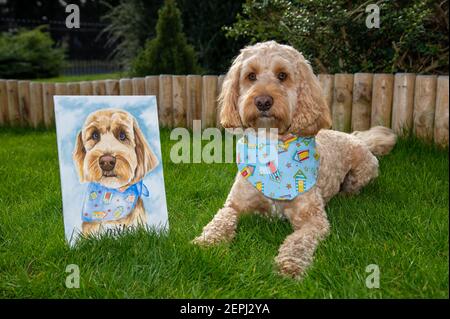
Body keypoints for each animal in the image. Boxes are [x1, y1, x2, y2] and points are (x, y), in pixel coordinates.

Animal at [192, 41, 396, 278]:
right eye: (251, 76)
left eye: (283, 75)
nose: (263, 101)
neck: (272, 149)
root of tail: (355, 136)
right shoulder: (234, 205)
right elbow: (220, 220)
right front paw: (206, 241)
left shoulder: (313, 219)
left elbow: (298, 240)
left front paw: (290, 265)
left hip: (363, 171)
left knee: (353, 188)